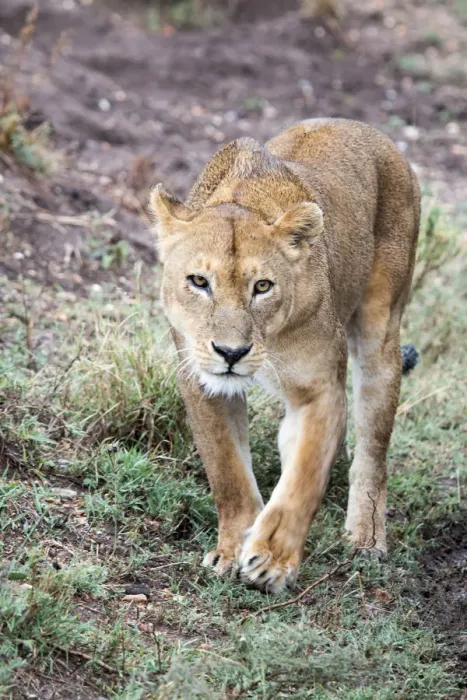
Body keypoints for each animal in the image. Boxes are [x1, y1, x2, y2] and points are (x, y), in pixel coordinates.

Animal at [150, 118, 420, 594]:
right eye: (199, 281)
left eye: (263, 286)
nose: (231, 352)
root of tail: (364, 128)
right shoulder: (201, 381)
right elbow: (228, 472)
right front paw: (231, 549)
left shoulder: (320, 390)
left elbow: (303, 479)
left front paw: (272, 561)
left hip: (382, 331)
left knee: (373, 446)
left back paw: (366, 537)